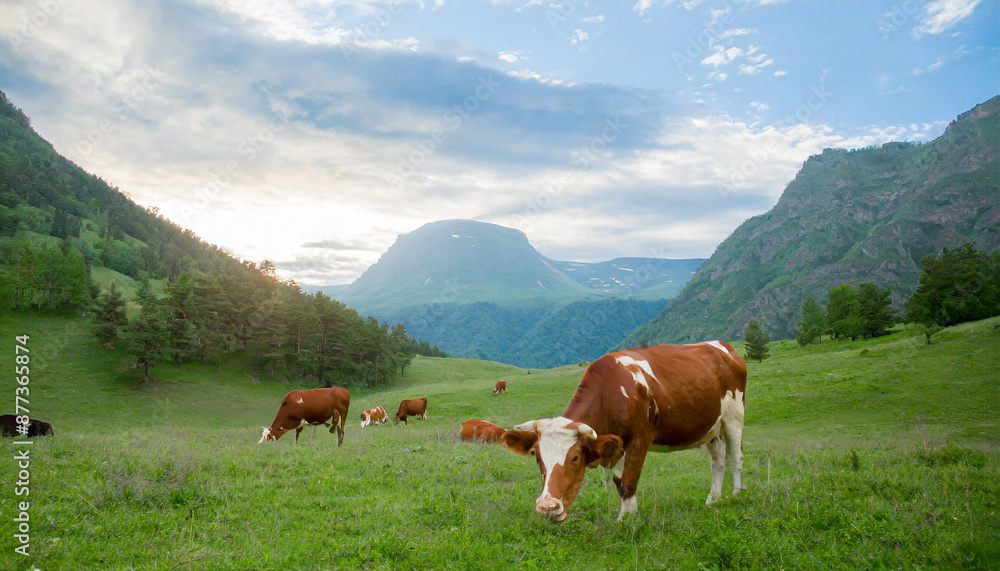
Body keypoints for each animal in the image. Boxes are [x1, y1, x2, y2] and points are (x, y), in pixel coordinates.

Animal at [502, 341, 747, 522]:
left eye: (575, 457)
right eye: (538, 458)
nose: (547, 505)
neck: (611, 391)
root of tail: (723, 347)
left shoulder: (639, 440)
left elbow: (630, 480)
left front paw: (626, 519)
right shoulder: (617, 444)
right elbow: (619, 482)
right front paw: (629, 514)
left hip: (734, 416)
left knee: (736, 456)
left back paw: (736, 494)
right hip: (712, 427)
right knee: (718, 461)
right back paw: (713, 499)